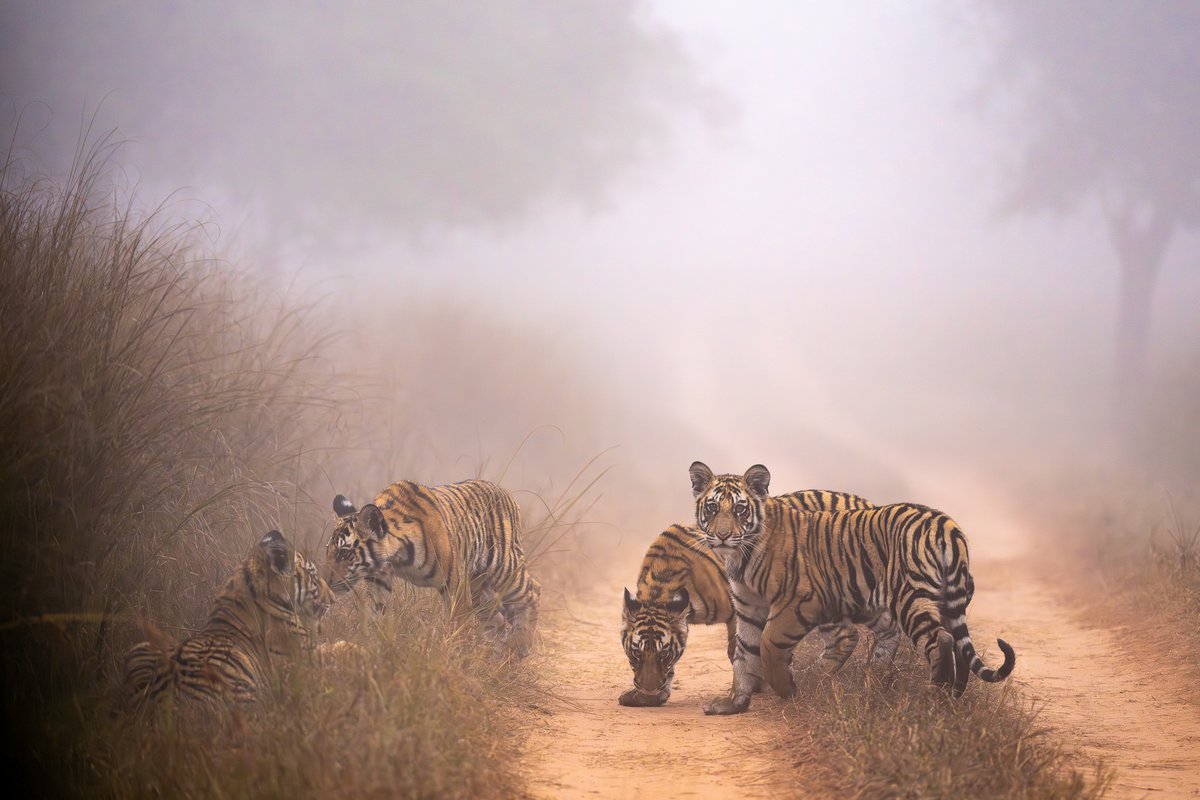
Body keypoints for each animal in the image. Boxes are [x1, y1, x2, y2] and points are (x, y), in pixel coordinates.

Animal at [323, 478, 540, 658]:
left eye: (344, 553)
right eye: (328, 551)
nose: (326, 582)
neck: (397, 557)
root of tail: (505, 492)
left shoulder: (455, 586)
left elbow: (457, 624)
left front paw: (453, 657)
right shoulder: (379, 580)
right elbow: (376, 616)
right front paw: (368, 646)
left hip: (503, 569)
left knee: (533, 590)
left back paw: (521, 645)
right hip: (478, 587)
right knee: (498, 620)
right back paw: (492, 656)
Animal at [619, 489, 890, 708]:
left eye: (663, 654)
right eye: (636, 654)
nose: (649, 689)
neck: (659, 587)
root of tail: (866, 503)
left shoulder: (736, 609)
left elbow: (737, 649)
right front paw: (647, 696)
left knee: (846, 637)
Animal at [689, 462, 1015, 715]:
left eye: (740, 509)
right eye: (713, 507)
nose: (722, 536)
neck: (741, 555)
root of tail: (945, 524)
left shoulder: (798, 601)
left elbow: (769, 644)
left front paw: (786, 688)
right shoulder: (748, 606)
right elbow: (744, 654)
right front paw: (734, 703)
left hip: (909, 596)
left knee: (940, 640)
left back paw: (934, 697)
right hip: (933, 599)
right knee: (949, 642)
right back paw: (950, 694)